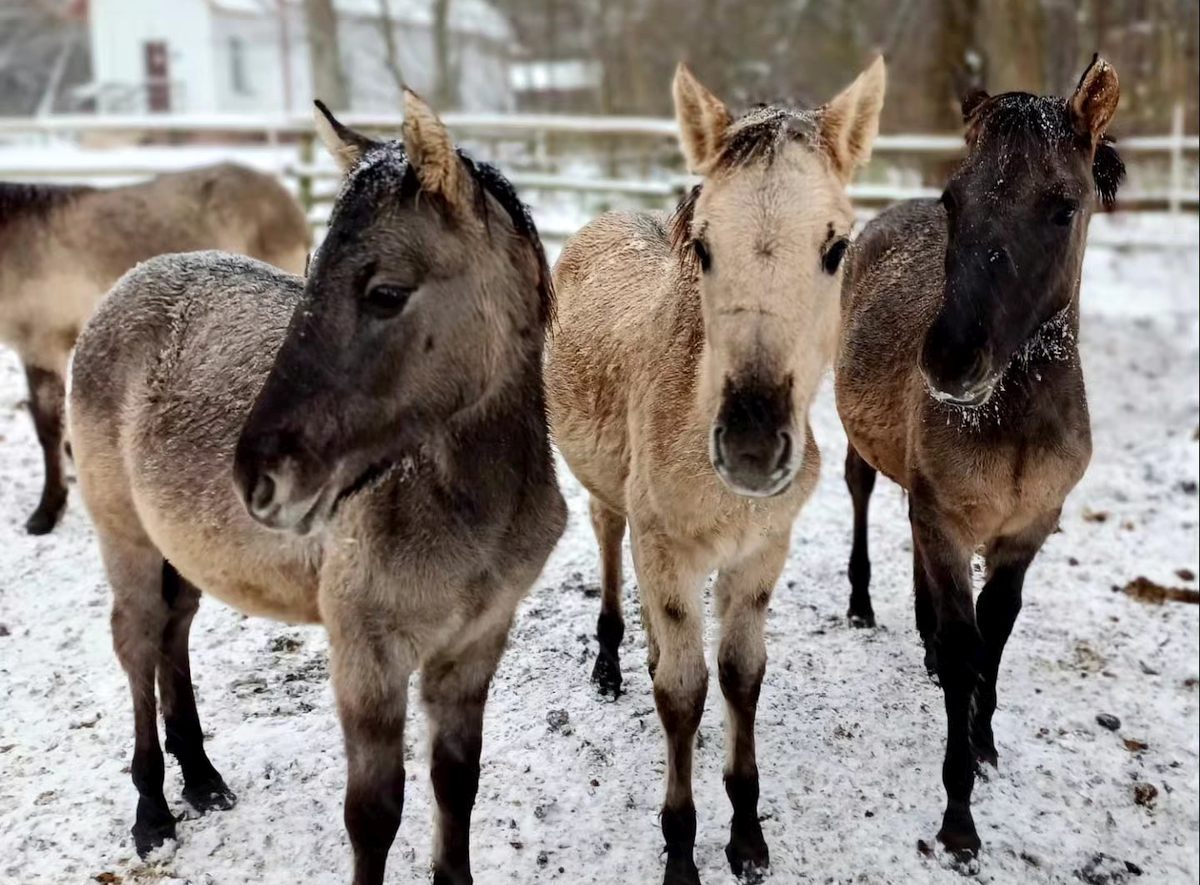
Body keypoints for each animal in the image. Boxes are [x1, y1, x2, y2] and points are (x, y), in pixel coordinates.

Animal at [70, 94, 566, 882]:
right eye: (309, 275)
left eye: (385, 293)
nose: (258, 475)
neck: (466, 510)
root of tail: (125, 286)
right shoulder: (367, 659)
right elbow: (373, 814)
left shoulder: (475, 643)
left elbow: (456, 782)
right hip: (126, 540)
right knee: (138, 642)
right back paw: (152, 811)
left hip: (184, 554)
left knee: (175, 632)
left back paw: (201, 777)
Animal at [835, 56, 1123, 853]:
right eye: (953, 198)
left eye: (1063, 208)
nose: (951, 359)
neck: (1009, 421)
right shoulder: (949, 518)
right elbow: (969, 647)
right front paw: (958, 815)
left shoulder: (1026, 530)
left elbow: (993, 634)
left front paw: (985, 739)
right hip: (865, 453)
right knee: (864, 496)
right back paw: (865, 606)